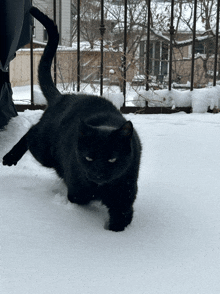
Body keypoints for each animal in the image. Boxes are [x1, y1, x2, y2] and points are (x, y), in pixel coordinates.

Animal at [2, 6, 142, 232]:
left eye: (112, 159)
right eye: (89, 158)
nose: (98, 174)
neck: (102, 187)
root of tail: (62, 97)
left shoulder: (124, 198)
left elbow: (120, 220)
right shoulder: (77, 190)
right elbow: (80, 196)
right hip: (45, 152)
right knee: (31, 132)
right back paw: (10, 157)